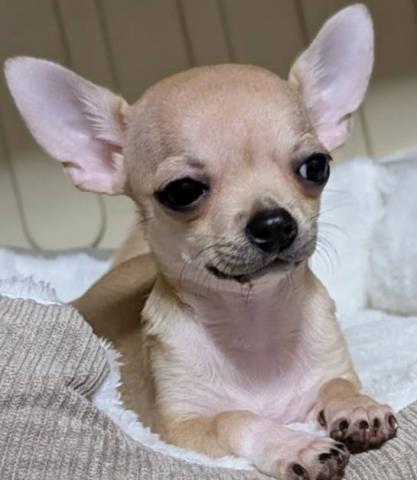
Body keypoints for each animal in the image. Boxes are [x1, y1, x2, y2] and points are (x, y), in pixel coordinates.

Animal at [5, 4, 398, 478]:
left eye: (317, 166)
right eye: (182, 191)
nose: (274, 223)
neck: (254, 323)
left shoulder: (331, 368)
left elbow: (338, 384)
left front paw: (358, 407)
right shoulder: (183, 429)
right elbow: (237, 418)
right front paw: (294, 444)